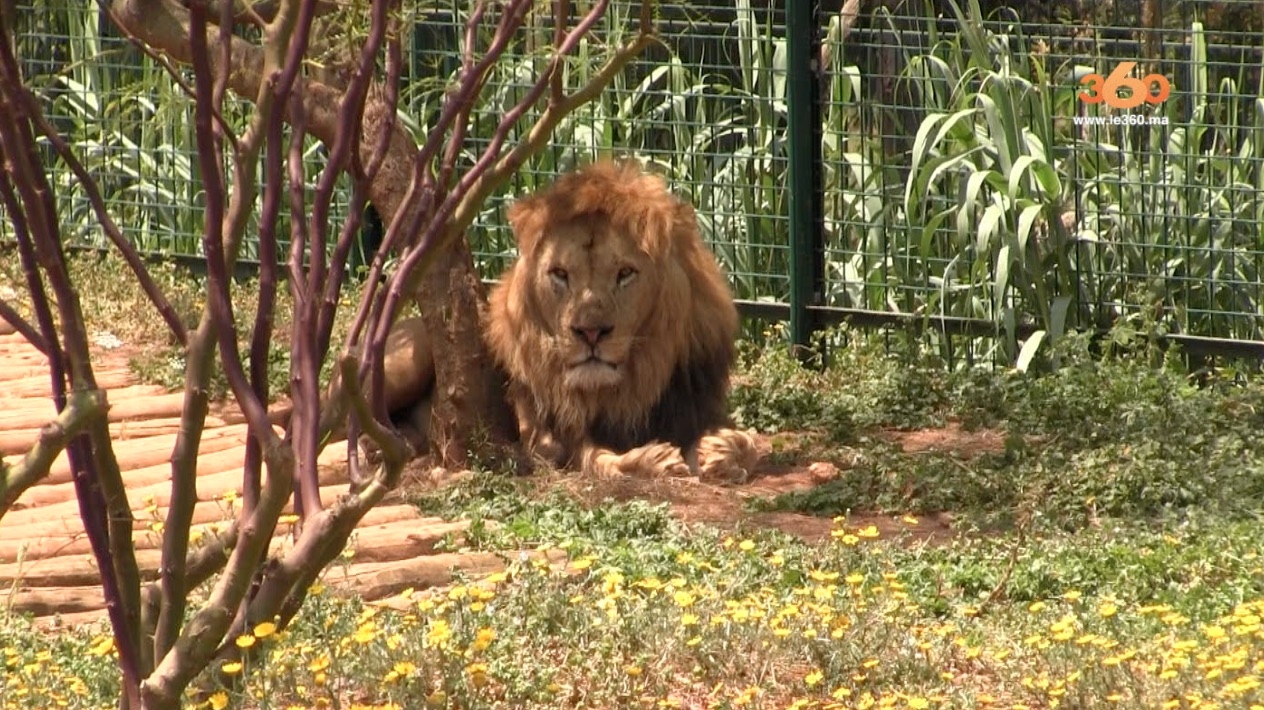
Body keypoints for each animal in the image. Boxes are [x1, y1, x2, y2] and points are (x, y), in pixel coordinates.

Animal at [482, 161, 758, 480]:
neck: (624, 394)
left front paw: (723, 450)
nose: (590, 332)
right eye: (560, 274)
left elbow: (743, 440)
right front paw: (655, 459)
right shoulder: (546, 436)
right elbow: (596, 458)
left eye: (625, 273)